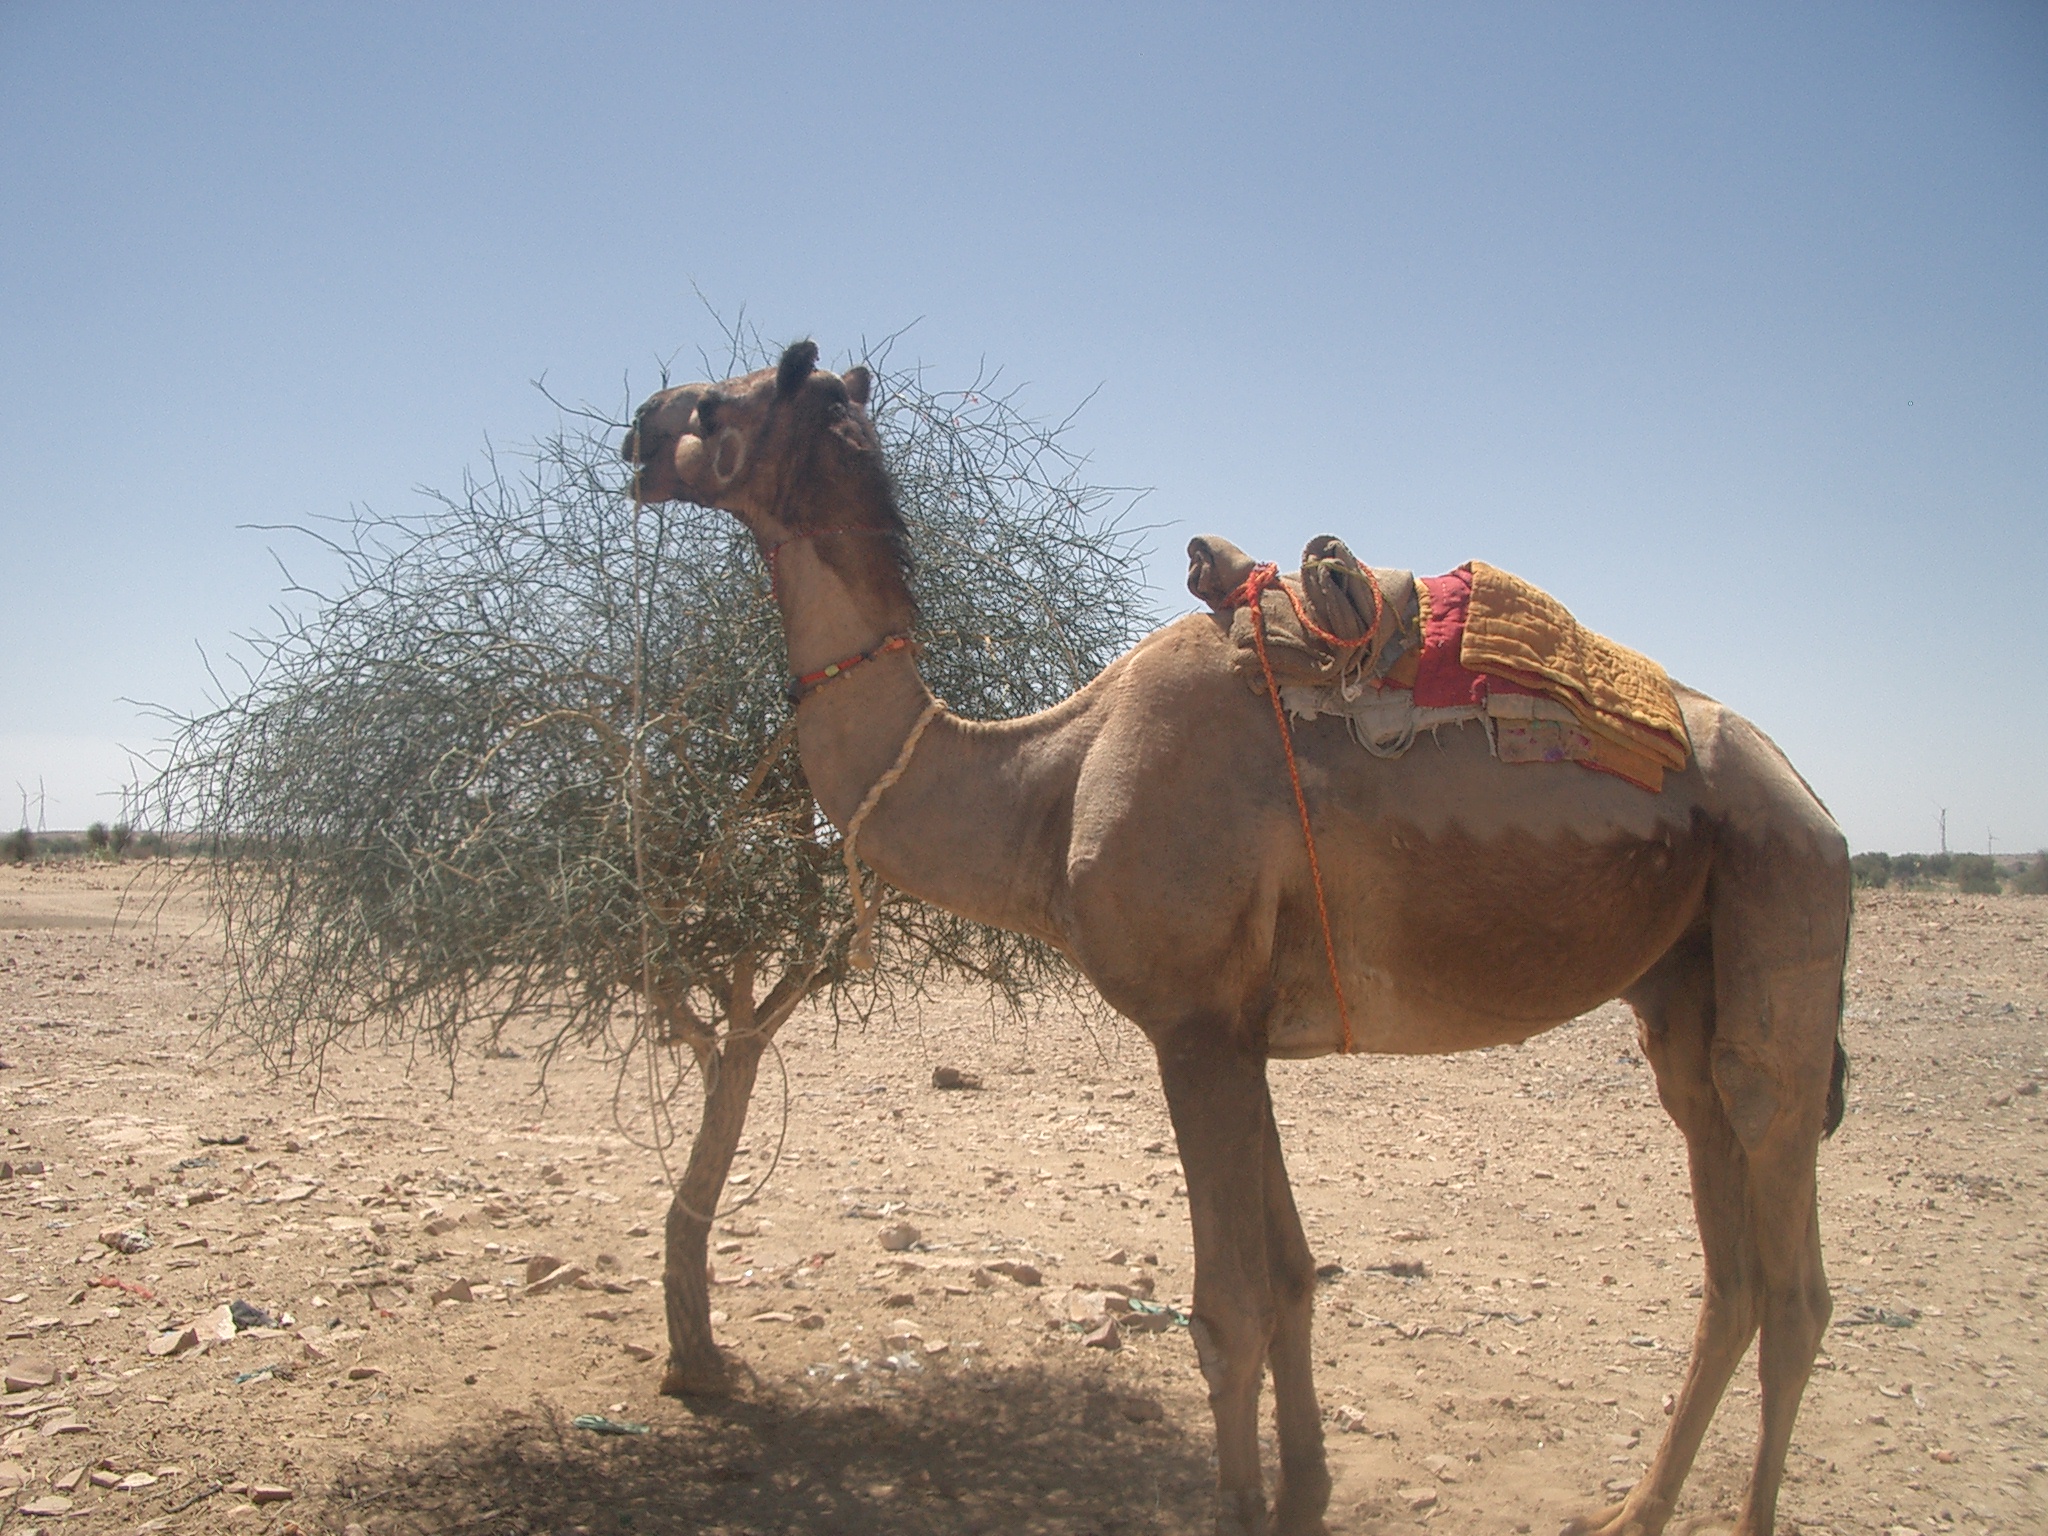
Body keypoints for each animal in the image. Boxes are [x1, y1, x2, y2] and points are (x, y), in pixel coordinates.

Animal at [618, 346, 1843, 1536]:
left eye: (720, 404)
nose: (637, 428)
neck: (1046, 782)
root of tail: (1808, 795)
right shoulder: (1241, 1030)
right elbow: (1294, 1280)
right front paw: (1301, 1494)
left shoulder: (1193, 1023)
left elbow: (1227, 1309)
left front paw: (1241, 1503)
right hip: (1678, 980)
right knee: (1725, 1252)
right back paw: (1631, 1508)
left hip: (1783, 894)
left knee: (1788, 1256)